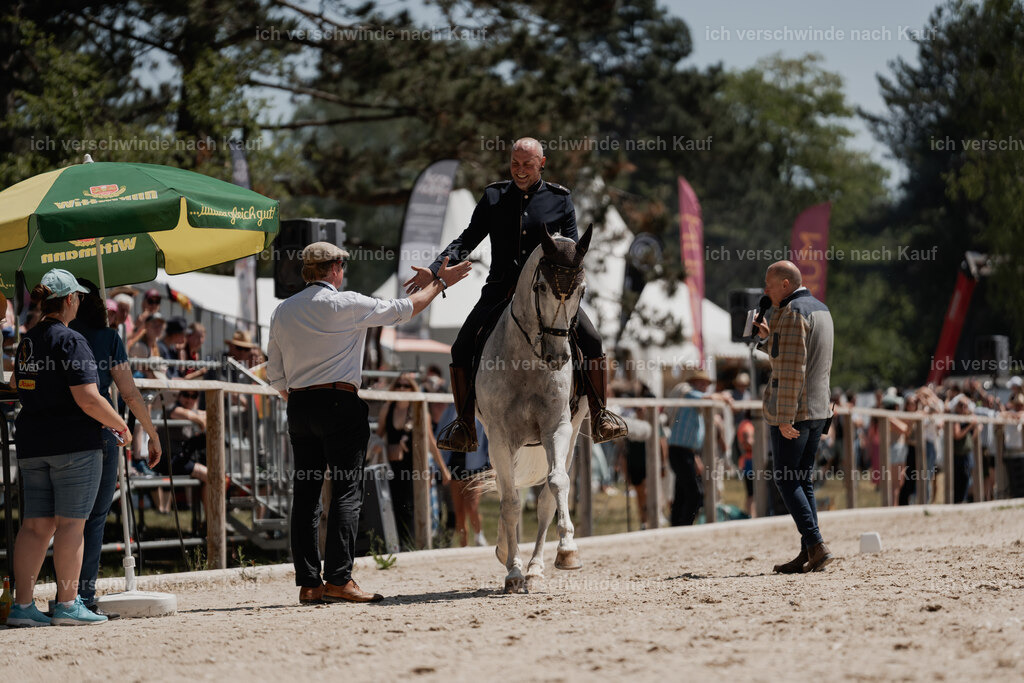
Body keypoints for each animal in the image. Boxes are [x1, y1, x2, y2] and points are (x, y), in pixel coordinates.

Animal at [475, 225, 593, 593]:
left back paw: (537, 567)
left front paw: (567, 551)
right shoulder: (499, 437)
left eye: (581, 290)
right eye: (541, 287)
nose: (558, 356)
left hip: (572, 433)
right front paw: (511, 570)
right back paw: (508, 556)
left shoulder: (558, 427)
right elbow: (511, 501)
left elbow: (555, 484)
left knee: (544, 501)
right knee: (507, 493)